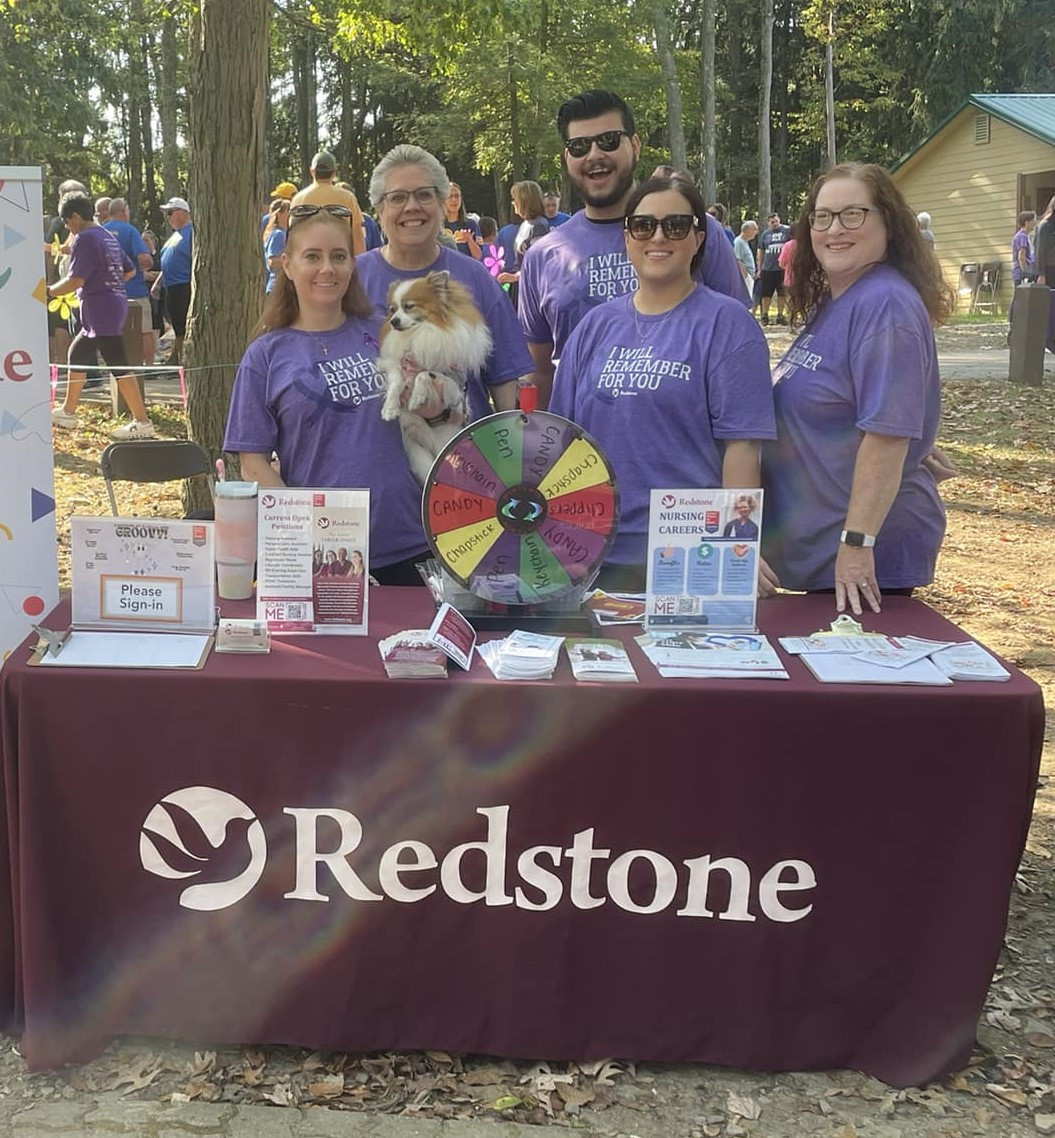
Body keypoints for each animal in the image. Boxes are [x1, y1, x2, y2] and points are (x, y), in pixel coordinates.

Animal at [380, 270, 496, 484]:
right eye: (392, 310)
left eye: (409, 307)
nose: (393, 321)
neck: (420, 332)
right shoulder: (396, 365)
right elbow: (396, 383)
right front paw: (390, 408)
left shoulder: (451, 379)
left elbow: (424, 373)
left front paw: (417, 397)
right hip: (417, 448)